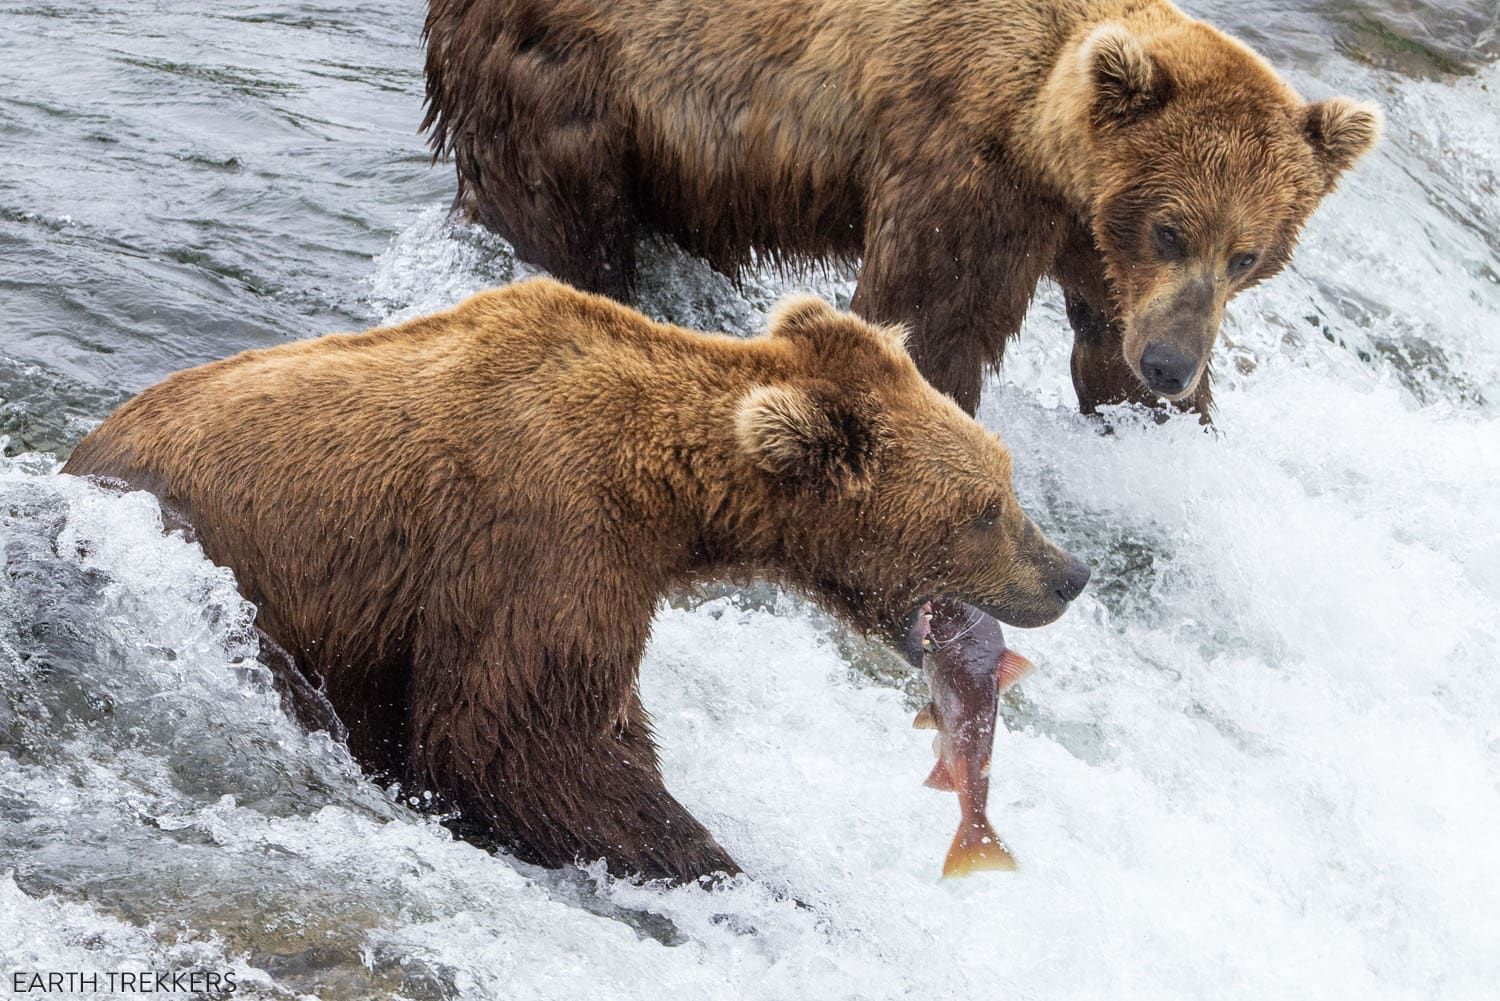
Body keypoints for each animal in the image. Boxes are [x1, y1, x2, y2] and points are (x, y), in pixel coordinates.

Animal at [64, 277, 1092, 882]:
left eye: (1005, 482)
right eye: (987, 508)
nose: (1069, 575)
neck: (669, 496)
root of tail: (79, 457)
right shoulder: (542, 545)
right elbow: (523, 740)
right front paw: (723, 864)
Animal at [423, 0, 1380, 420]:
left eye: (1248, 253)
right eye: (1172, 227)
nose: (1173, 366)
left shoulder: (1090, 241)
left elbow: (1103, 341)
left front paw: (1159, 411)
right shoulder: (964, 168)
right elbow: (931, 320)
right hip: (575, 85)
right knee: (563, 221)